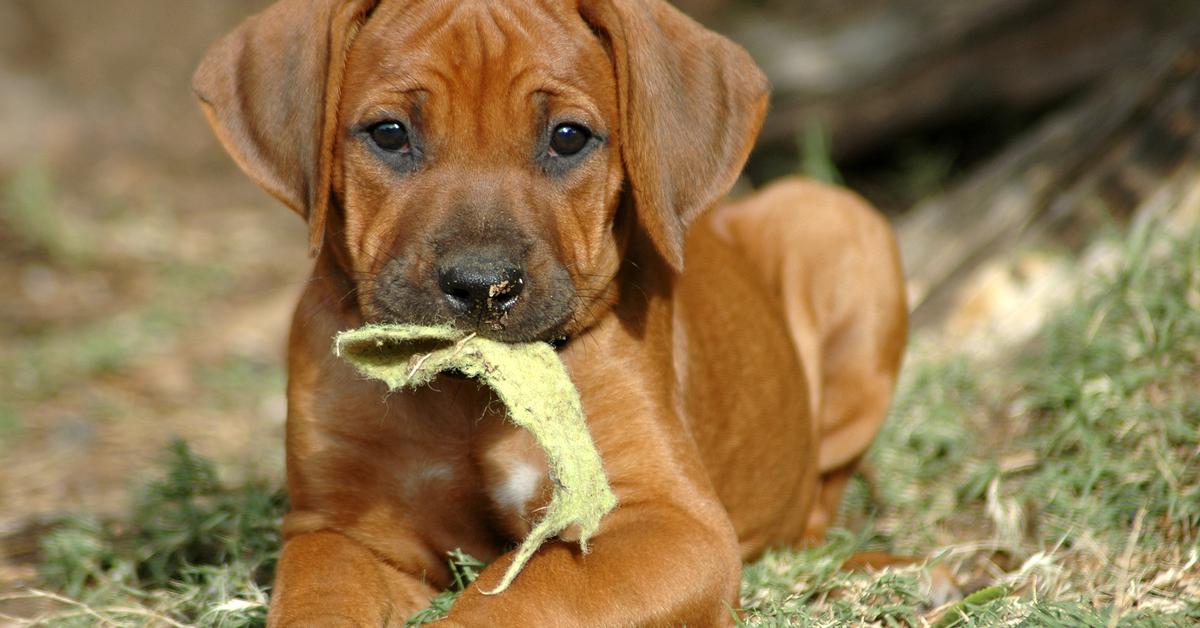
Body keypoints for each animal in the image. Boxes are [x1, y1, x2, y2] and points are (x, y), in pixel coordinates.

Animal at [196, 0, 902, 624]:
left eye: (568, 138)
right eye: (389, 134)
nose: (482, 285)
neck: (468, 391)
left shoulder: (668, 522)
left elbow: (515, 598)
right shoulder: (341, 530)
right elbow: (319, 600)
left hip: (836, 219)